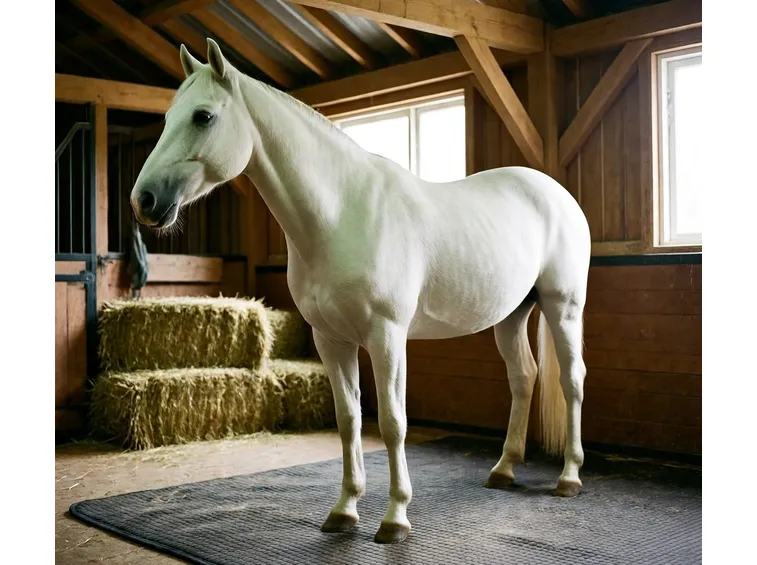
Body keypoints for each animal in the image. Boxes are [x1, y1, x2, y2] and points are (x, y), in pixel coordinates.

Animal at [130, 38, 591, 545]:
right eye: (169, 117)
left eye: (203, 116)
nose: (144, 201)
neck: (340, 215)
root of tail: (556, 193)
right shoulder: (331, 339)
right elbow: (349, 419)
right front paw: (345, 511)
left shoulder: (386, 336)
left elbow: (391, 422)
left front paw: (395, 518)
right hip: (511, 315)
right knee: (524, 377)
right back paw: (504, 469)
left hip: (562, 307)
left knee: (571, 380)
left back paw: (569, 477)